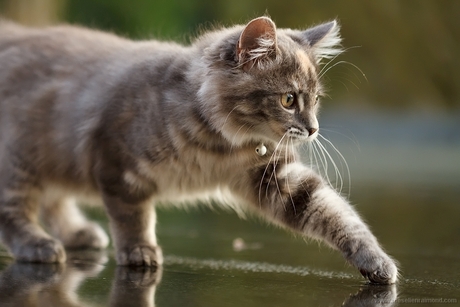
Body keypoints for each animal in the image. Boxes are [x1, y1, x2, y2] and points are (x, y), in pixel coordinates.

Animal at [0, 16, 398, 286]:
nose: (313, 129)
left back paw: (79, 233)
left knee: (53, 200)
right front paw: (139, 252)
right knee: (15, 210)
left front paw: (376, 261)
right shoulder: (116, 161)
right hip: (20, 158)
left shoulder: (273, 177)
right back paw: (40, 245)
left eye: (315, 101)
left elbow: (335, 213)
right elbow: (134, 217)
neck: (220, 144)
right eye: (288, 100)